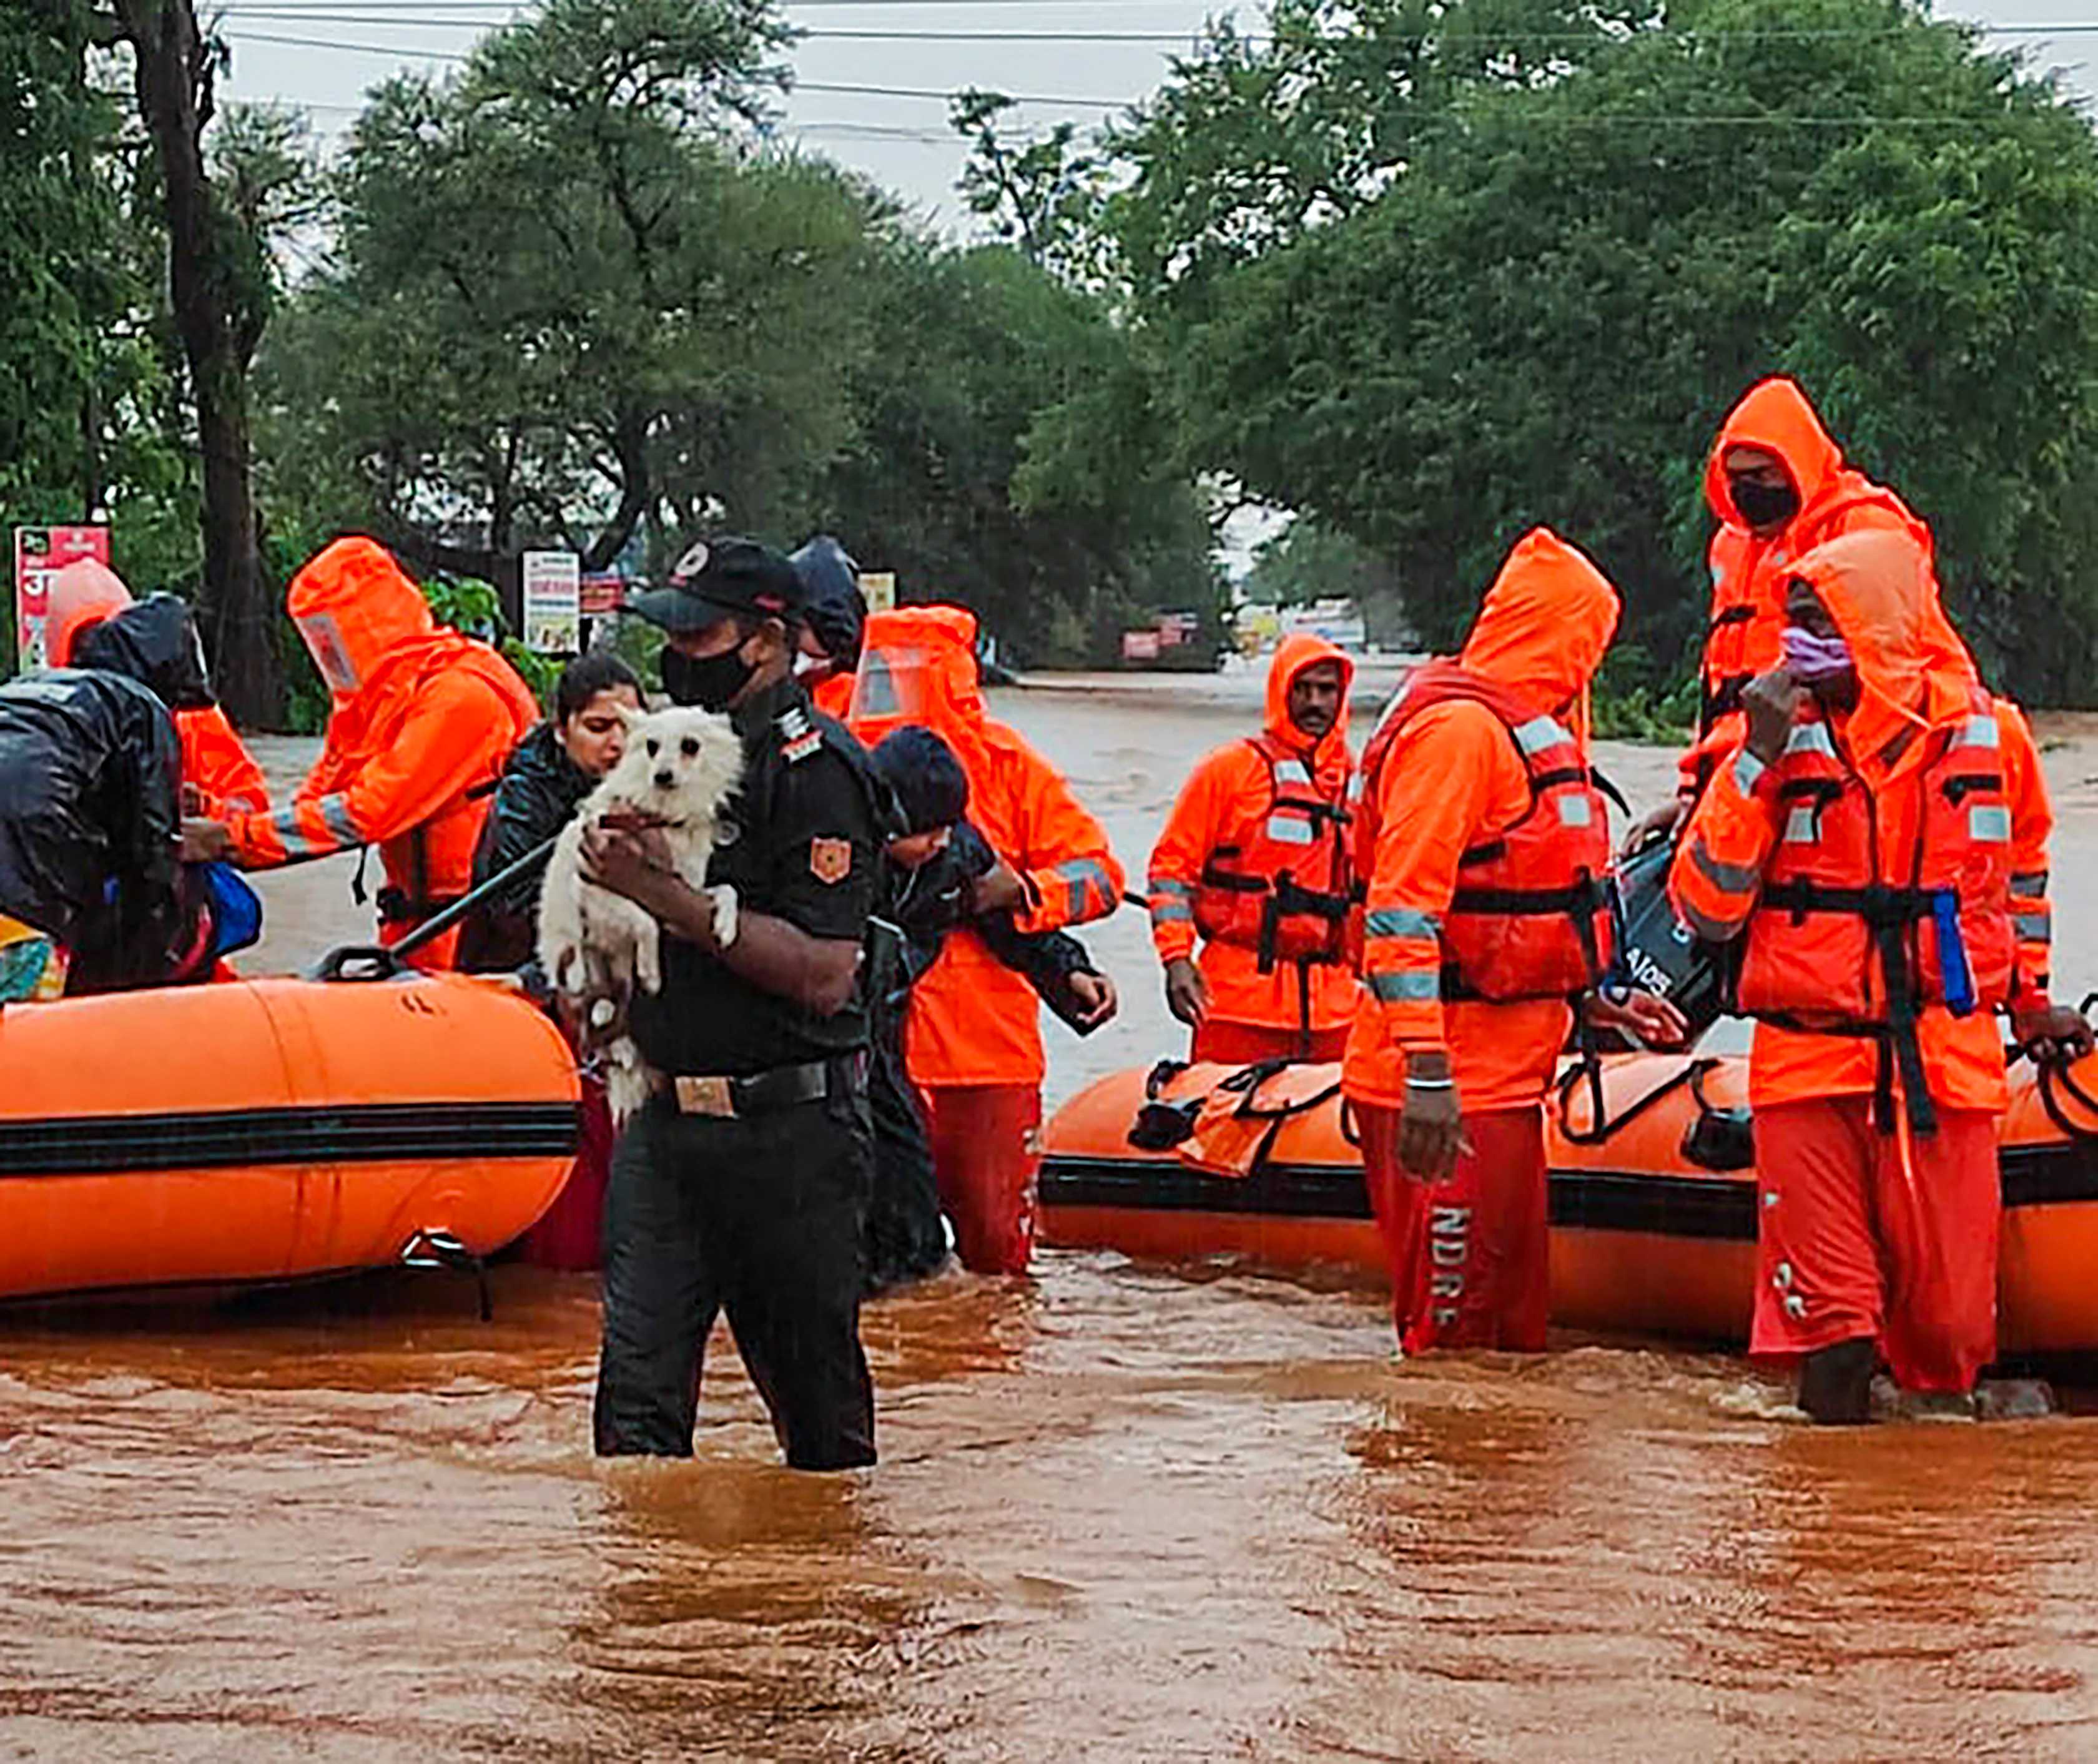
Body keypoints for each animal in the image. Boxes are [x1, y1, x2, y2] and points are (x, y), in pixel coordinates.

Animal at [541, 700, 747, 1116]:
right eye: (651, 747)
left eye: (690, 746)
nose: (662, 775)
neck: (663, 814)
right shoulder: (596, 891)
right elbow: (645, 921)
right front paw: (652, 972)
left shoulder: (684, 893)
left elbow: (726, 890)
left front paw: (726, 925)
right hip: (579, 961)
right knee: (599, 1005)